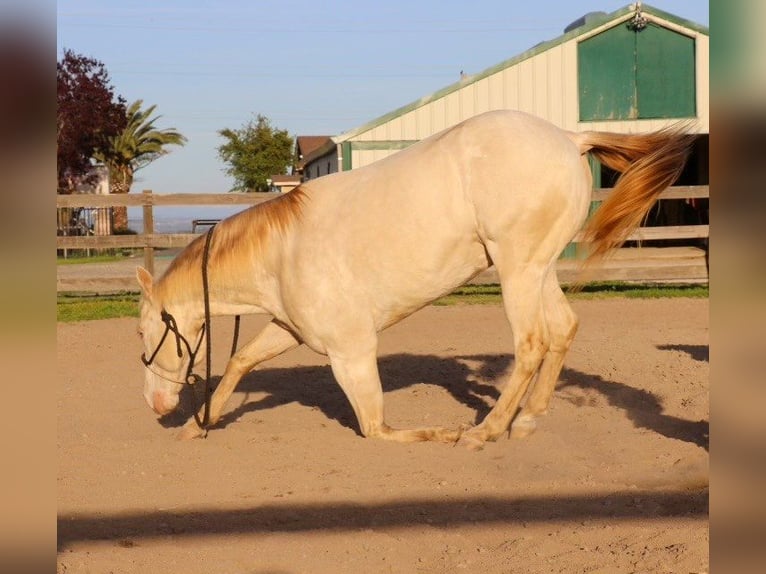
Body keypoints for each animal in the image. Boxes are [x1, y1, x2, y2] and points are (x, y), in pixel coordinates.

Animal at [136, 110, 696, 448]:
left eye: (144, 332)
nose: (156, 405)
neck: (281, 251)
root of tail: (569, 138)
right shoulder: (290, 330)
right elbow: (239, 362)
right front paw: (198, 426)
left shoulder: (352, 351)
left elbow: (377, 429)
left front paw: (442, 434)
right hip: (539, 271)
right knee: (562, 331)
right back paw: (526, 420)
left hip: (518, 272)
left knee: (531, 343)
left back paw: (484, 431)